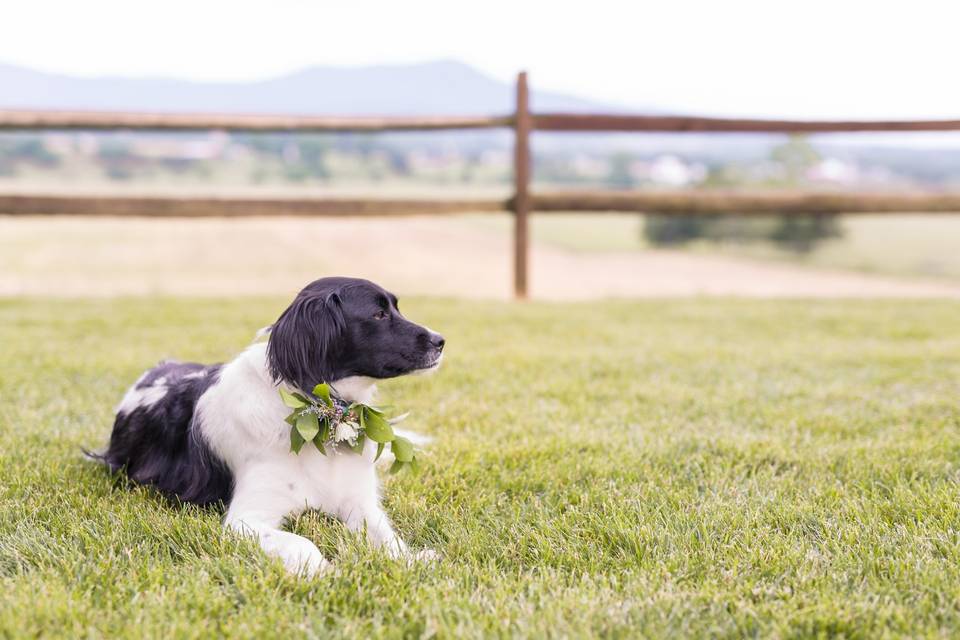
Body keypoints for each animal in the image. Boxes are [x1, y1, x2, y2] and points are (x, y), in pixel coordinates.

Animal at [88, 276, 444, 576]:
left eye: (395, 307)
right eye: (379, 314)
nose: (440, 340)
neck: (321, 421)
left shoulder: (360, 503)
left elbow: (387, 536)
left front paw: (412, 559)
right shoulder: (245, 520)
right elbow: (303, 542)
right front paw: (324, 572)